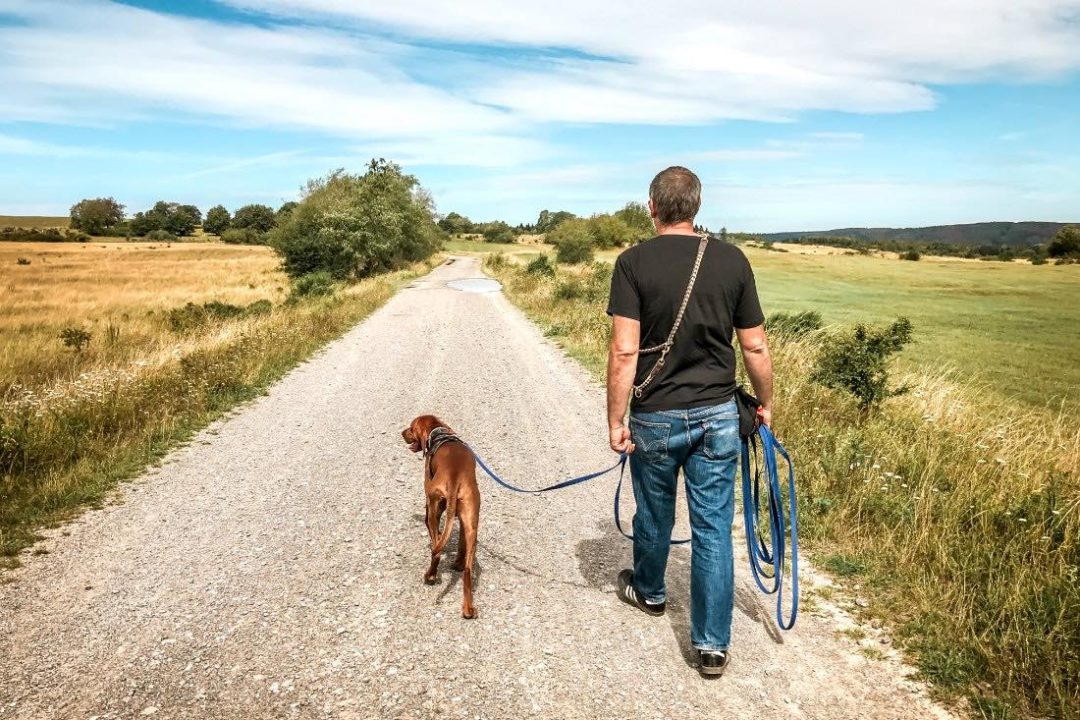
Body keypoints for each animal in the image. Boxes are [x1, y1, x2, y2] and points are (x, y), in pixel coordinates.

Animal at [401, 416, 481, 621]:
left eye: (411, 428)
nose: (402, 432)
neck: (438, 433)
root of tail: (455, 480)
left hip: (434, 506)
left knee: (436, 551)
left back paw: (430, 576)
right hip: (471, 519)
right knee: (468, 568)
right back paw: (468, 608)